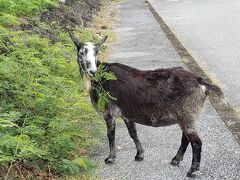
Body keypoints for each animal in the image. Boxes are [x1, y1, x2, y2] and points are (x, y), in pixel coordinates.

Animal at [69, 33, 223, 176]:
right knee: (186, 138)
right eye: (81, 52)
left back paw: (192, 170)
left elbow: (111, 134)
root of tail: (200, 81)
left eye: (97, 52)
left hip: (187, 114)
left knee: (196, 142)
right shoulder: (127, 113)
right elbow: (133, 133)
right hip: (186, 117)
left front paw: (110, 158)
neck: (101, 77)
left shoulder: (108, 112)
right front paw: (139, 154)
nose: (92, 71)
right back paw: (176, 160)